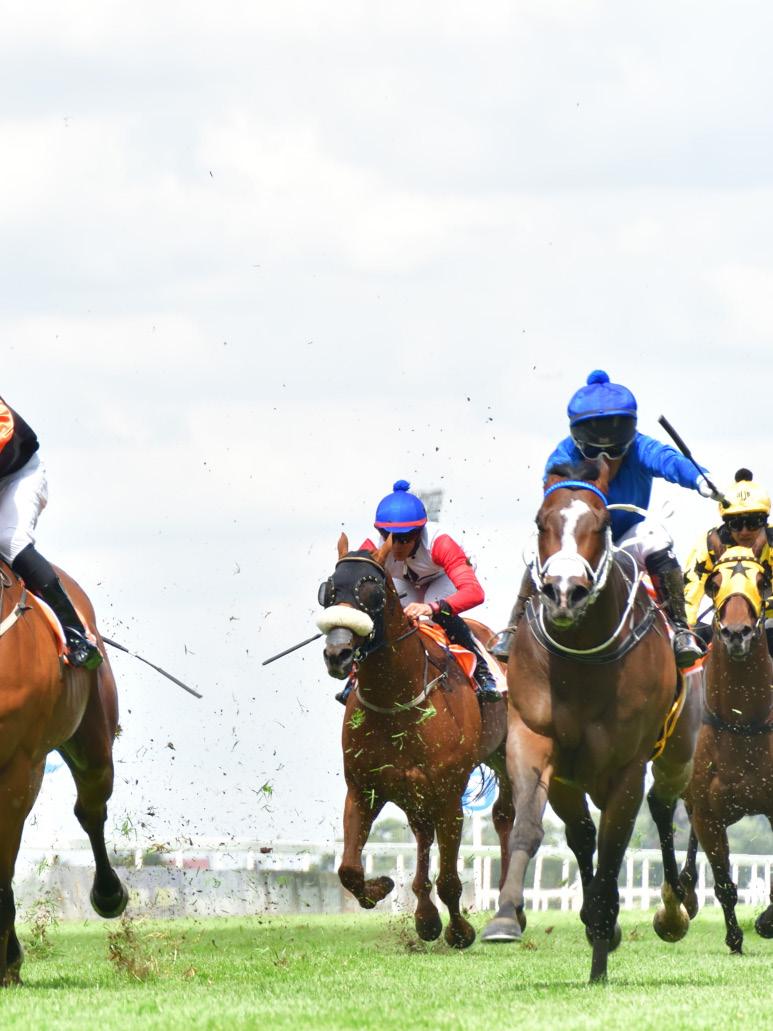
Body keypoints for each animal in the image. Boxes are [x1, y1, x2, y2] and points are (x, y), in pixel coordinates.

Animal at [317, 533, 514, 948]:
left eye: (371, 590)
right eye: (329, 590)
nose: (338, 653)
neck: (396, 696)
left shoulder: (450, 794)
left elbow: (451, 880)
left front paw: (460, 931)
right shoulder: (364, 788)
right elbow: (349, 870)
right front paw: (382, 887)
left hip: (504, 757)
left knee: (505, 817)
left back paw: (508, 908)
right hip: (414, 792)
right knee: (423, 834)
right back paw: (425, 916)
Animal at [481, 462, 702, 983]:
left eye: (600, 525)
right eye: (541, 521)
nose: (564, 593)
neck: (582, 660)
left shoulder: (627, 769)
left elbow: (613, 847)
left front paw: (604, 935)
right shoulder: (536, 743)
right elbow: (531, 827)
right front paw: (505, 917)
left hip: (677, 753)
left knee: (663, 808)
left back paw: (673, 908)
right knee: (581, 834)